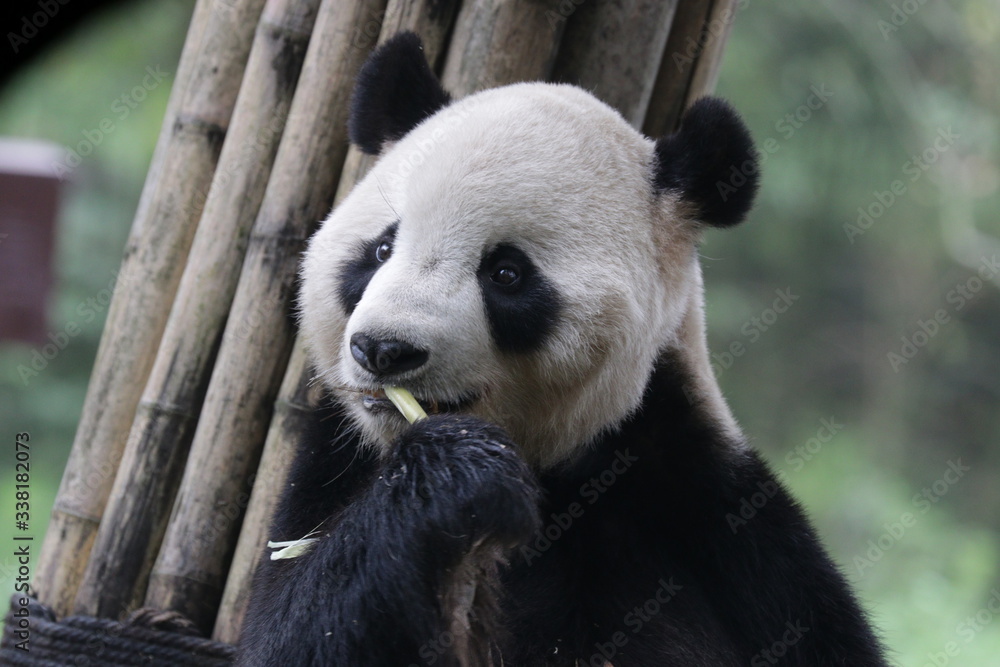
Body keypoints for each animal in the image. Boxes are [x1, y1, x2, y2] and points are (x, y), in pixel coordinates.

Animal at [237, 32, 887, 666]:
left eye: (505, 273)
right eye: (380, 250)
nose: (384, 349)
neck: (549, 470)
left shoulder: (709, 503)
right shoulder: (331, 465)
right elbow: (287, 633)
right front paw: (456, 478)